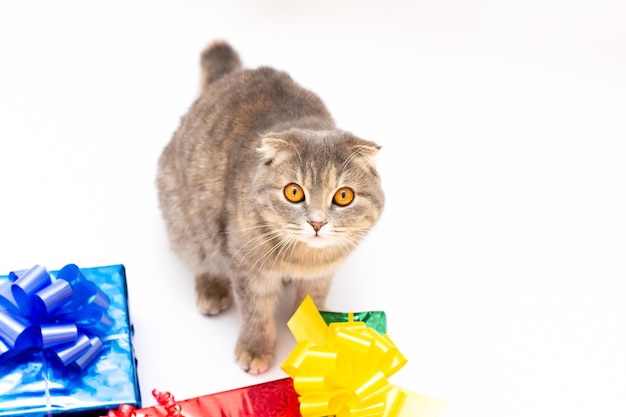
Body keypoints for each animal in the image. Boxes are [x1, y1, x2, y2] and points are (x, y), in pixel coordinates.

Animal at [154, 39, 382, 374]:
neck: (304, 259)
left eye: (343, 196)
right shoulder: (248, 269)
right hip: (188, 223)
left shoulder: (322, 274)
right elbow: (256, 313)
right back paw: (212, 288)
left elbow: (314, 301)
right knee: (202, 259)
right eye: (294, 192)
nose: (317, 223)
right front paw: (255, 348)